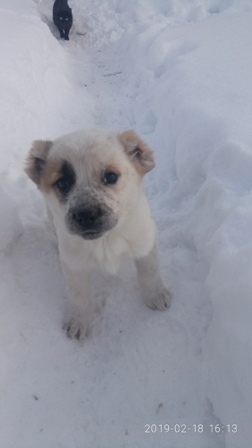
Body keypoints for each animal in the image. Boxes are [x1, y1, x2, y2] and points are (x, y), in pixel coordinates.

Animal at [25, 129, 171, 340]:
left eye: (110, 176)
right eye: (62, 182)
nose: (86, 215)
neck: (106, 240)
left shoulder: (145, 242)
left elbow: (150, 273)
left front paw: (157, 295)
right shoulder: (74, 263)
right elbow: (79, 295)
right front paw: (79, 321)